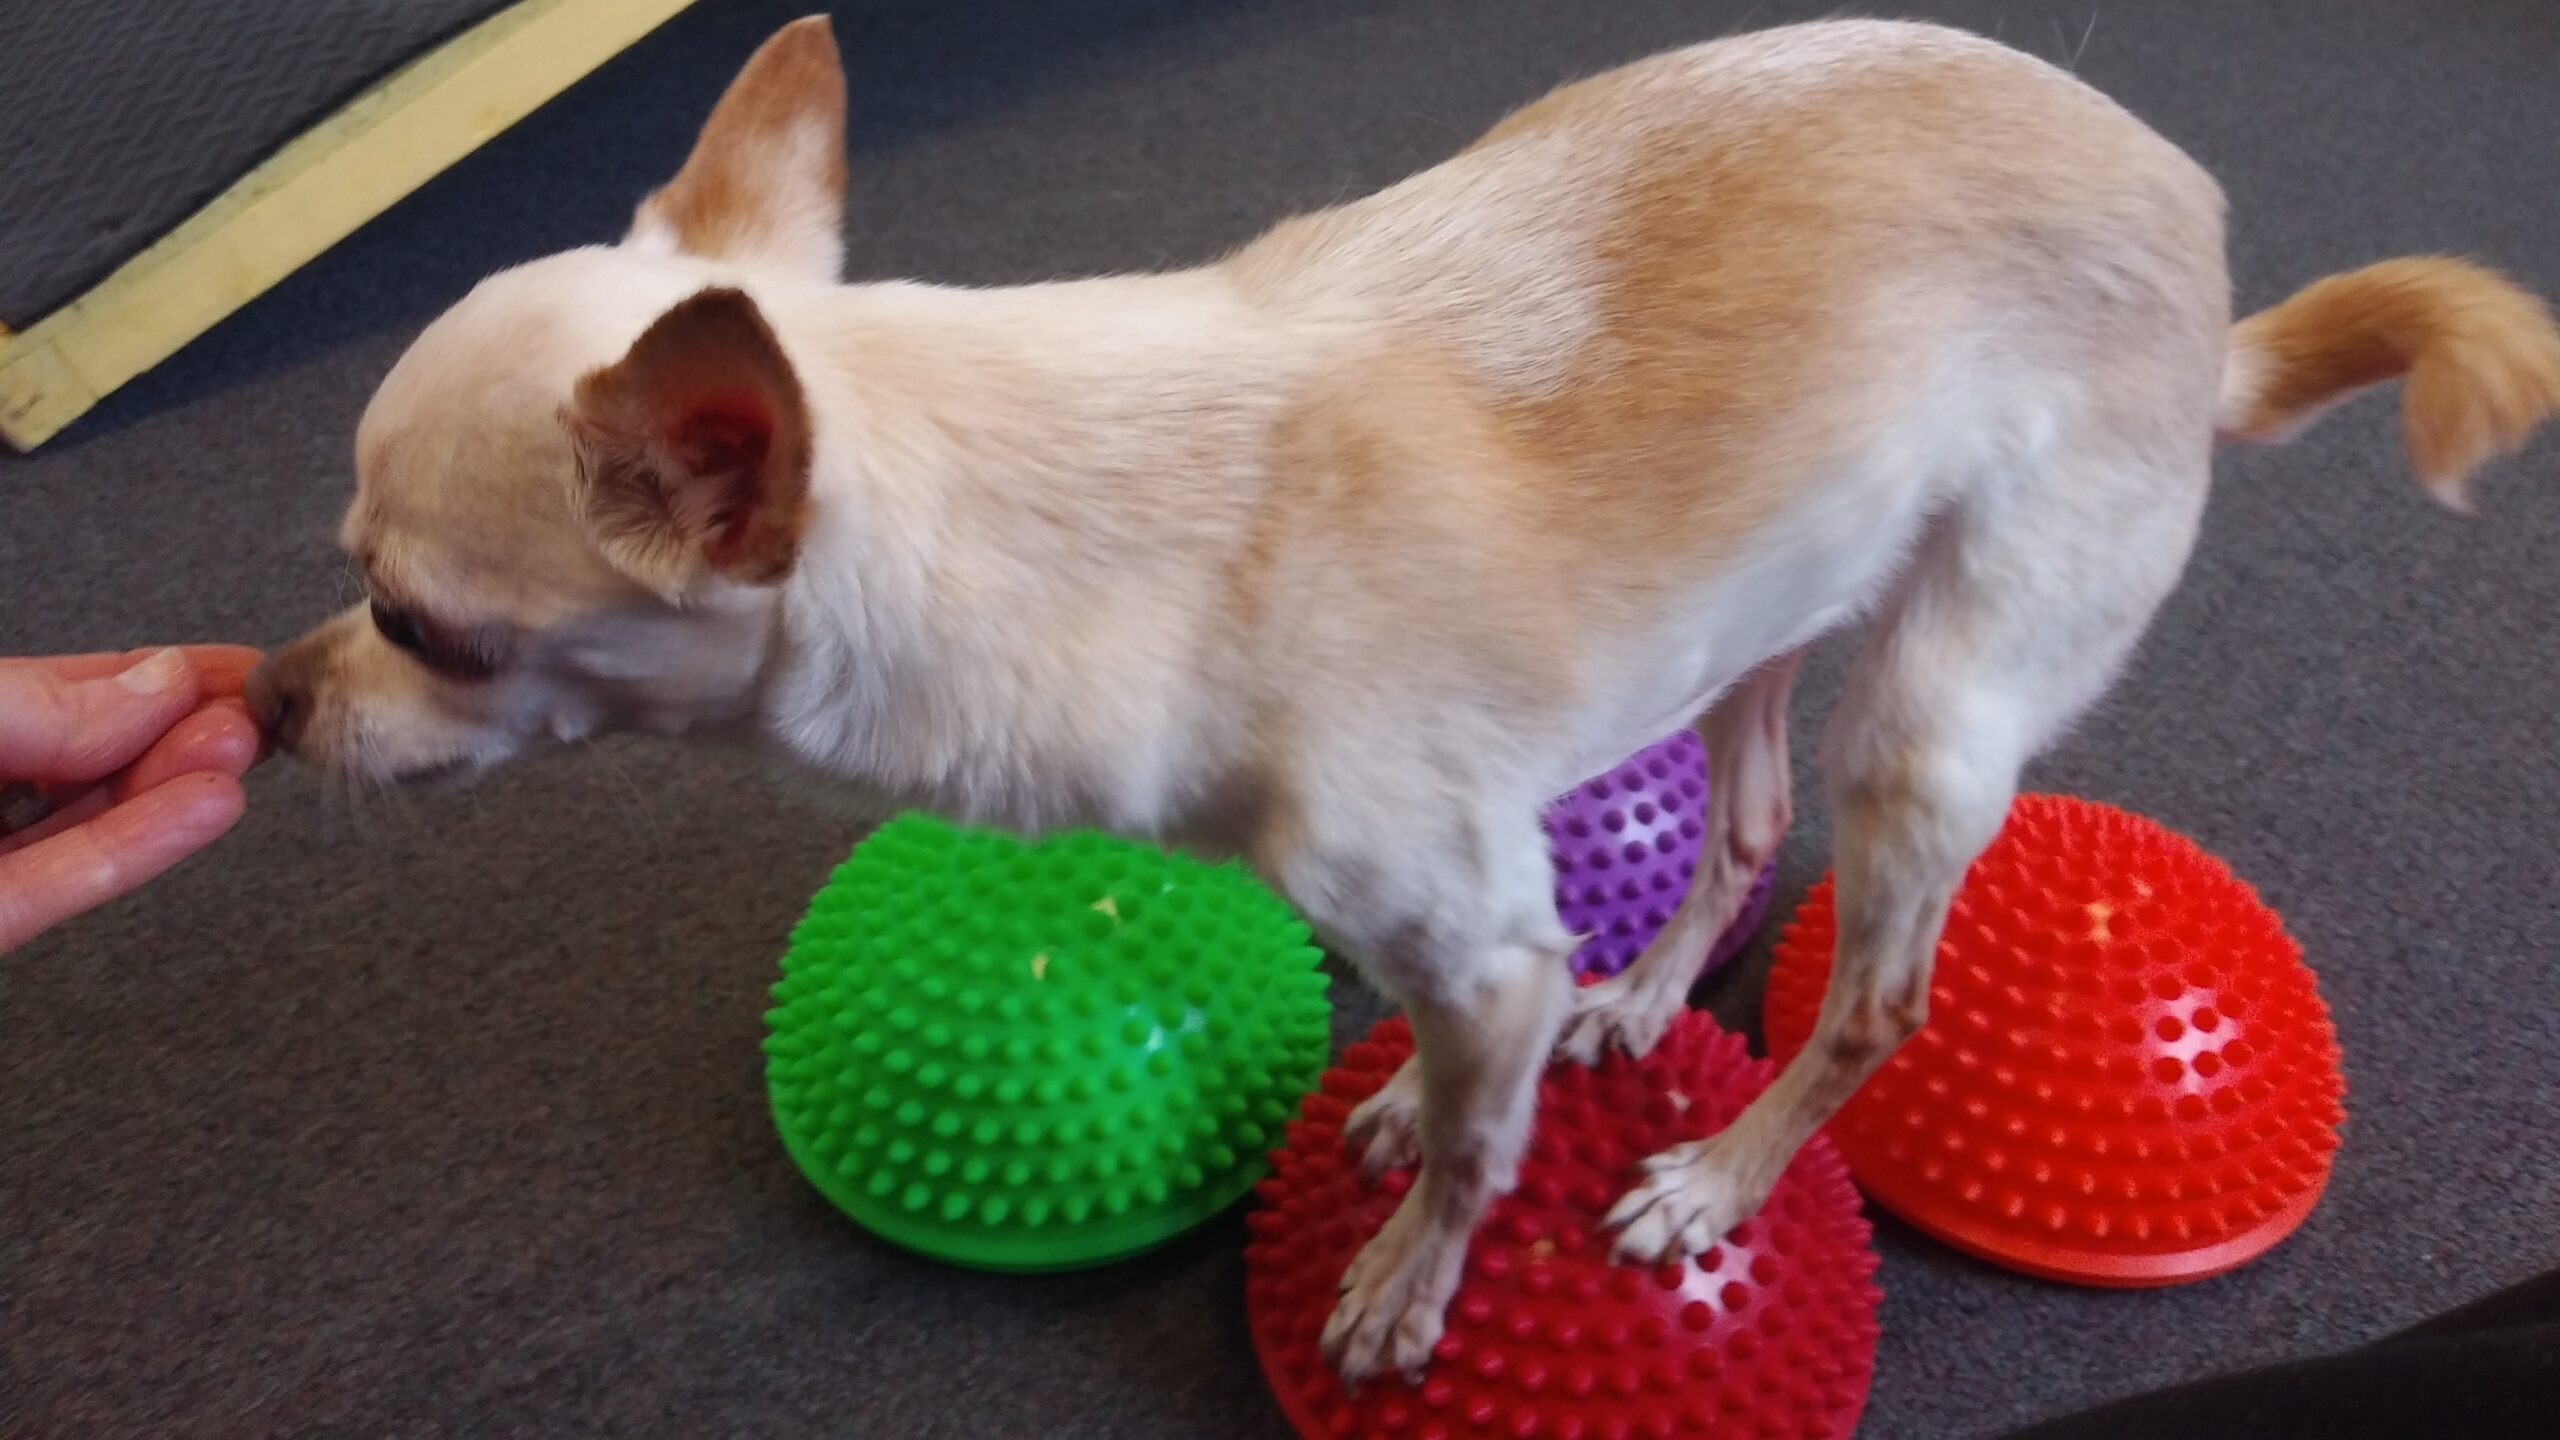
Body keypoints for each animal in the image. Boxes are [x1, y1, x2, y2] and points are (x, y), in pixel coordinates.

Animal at [244, 14, 2560, 1383]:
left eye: (420, 627)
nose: (267, 707)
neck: (1061, 505)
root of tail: (2214, 270)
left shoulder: (1471, 922)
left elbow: (1473, 1142)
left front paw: (1407, 1287)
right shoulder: (1466, 919)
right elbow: (1459, 1056)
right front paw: (1413, 1105)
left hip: (1929, 714)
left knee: (1875, 1001)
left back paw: (1717, 1178)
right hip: (1769, 614)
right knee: (1735, 824)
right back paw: (1643, 1008)